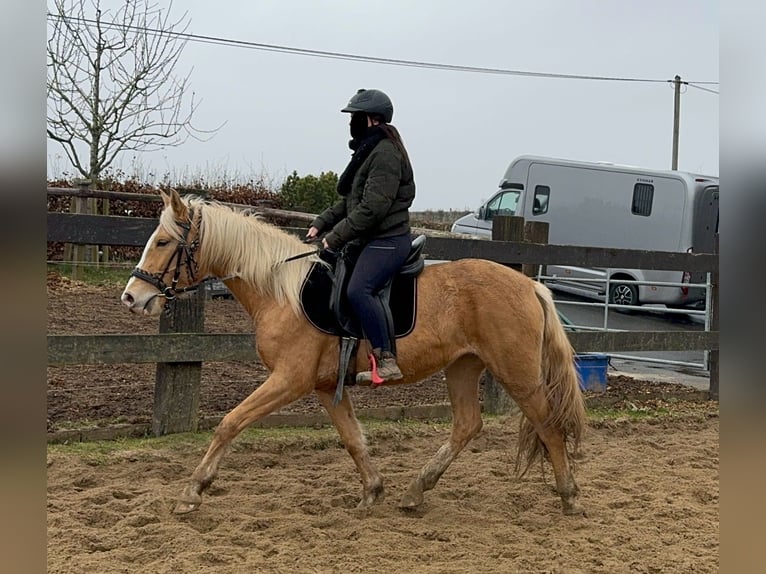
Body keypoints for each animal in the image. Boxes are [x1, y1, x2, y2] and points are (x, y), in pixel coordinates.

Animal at [121, 189, 588, 516]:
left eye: (162, 242)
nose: (132, 297)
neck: (283, 292)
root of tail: (528, 284)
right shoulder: (325, 386)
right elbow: (352, 439)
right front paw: (372, 492)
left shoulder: (289, 380)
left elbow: (229, 423)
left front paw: (192, 492)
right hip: (463, 367)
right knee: (467, 425)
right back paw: (416, 491)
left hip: (517, 373)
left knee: (547, 425)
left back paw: (569, 496)